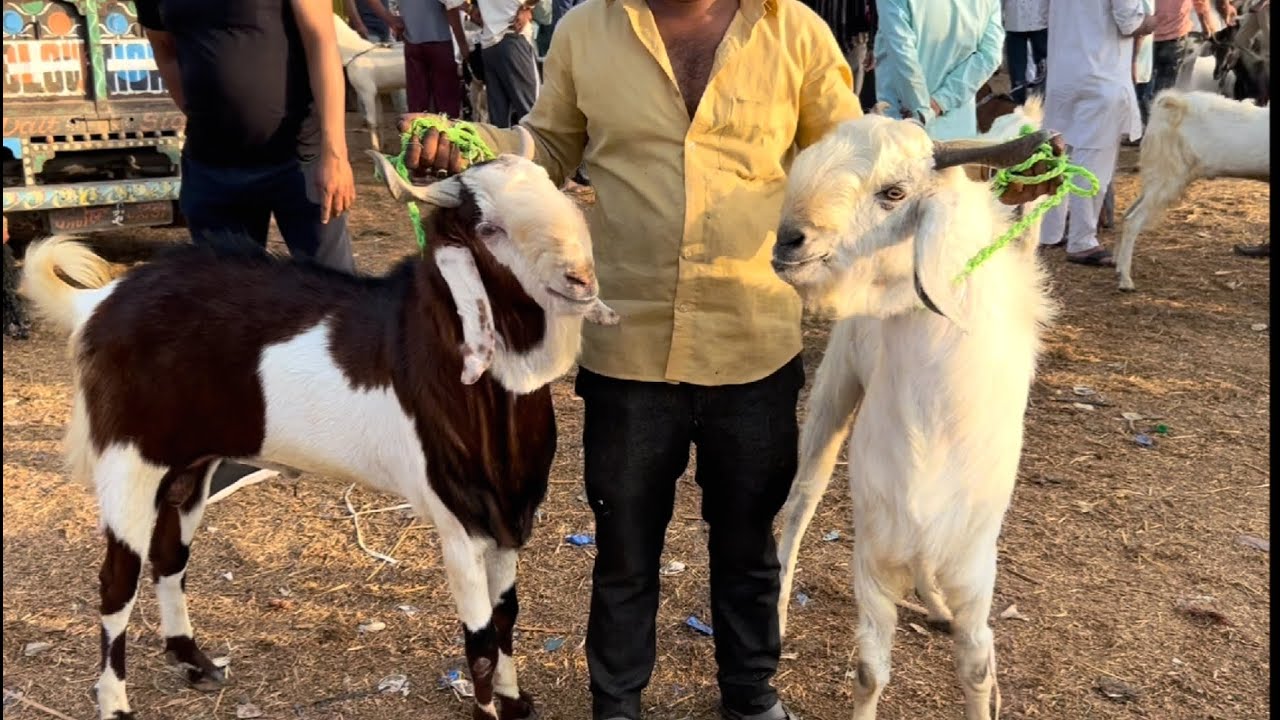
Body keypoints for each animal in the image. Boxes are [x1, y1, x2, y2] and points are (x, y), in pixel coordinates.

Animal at [19, 131, 618, 720]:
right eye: (490, 228)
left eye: (553, 189)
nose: (582, 279)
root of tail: (100, 301)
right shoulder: (457, 518)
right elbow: (480, 638)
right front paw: (491, 710)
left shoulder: (509, 514)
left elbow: (507, 614)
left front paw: (515, 700)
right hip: (128, 459)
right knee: (116, 582)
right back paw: (115, 702)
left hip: (190, 465)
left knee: (170, 557)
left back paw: (193, 661)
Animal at [334, 15, 408, 152]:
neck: (353, 52)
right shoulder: (377, 93)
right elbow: (380, 120)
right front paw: (382, 146)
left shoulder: (366, 92)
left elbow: (371, 121)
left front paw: (375, 149)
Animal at [770, 113, 1057, 720]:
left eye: (894, 193)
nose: (788, 242)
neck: (936, 426)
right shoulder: (872, 558)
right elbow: (868, 671)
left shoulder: (975, 569)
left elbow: (976, 668)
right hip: (836, 386)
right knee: (803, 497)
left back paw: (934, 602)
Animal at [1116, 89, 1270, 290]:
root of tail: (1173, 103)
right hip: (1168, 175)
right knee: (1133, 221)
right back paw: (1126, 281)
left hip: (1158, 177)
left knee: (1128, 212)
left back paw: (1118, 266)